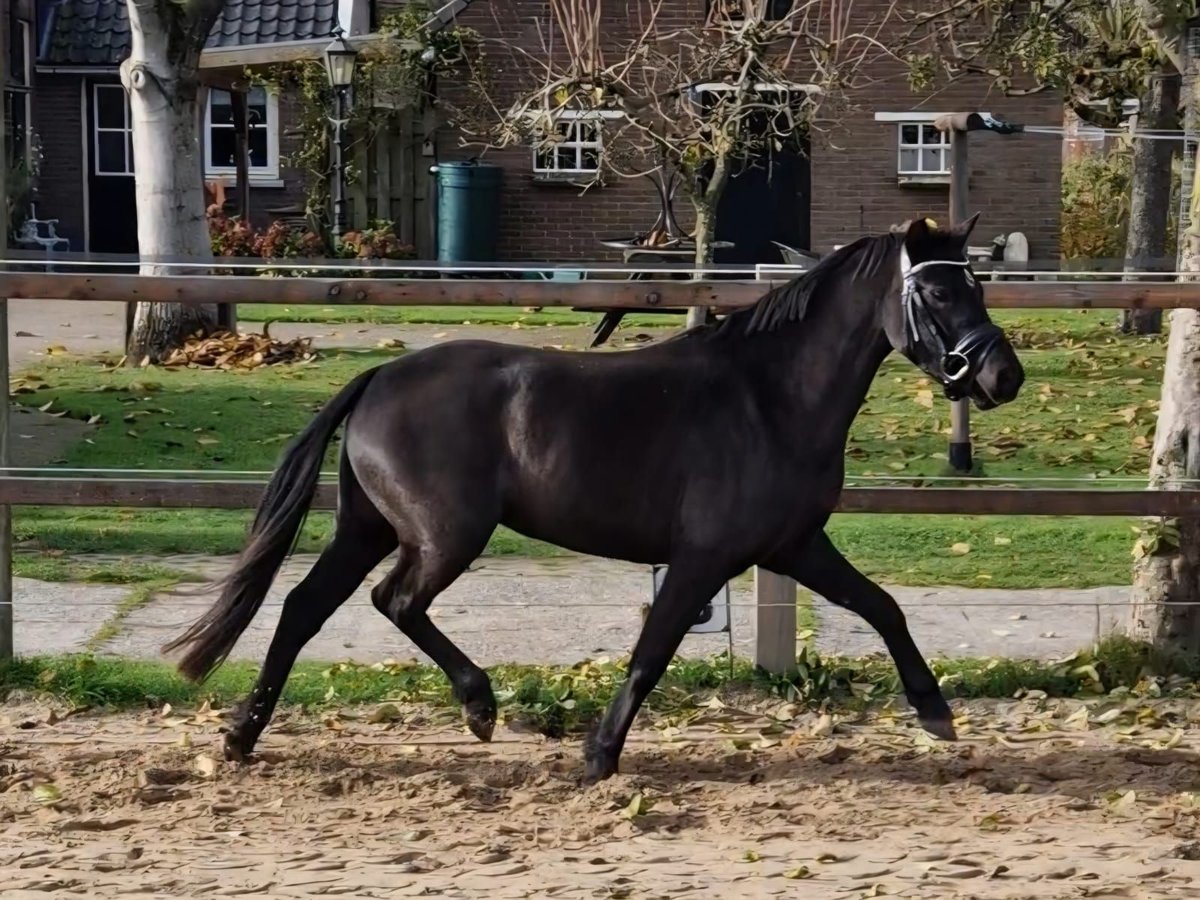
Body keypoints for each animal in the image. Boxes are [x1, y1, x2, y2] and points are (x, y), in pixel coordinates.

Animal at [164, 214, 1025, 783]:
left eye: (977, 284)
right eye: (936, 293)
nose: (1002, 376)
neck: (770, 396)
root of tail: (378, 377)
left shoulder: (795, 546)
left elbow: (884, 607)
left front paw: (936, 713)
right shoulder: (704, 557)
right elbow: (651, 653)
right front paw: (599, 754)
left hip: (367, 528)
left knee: (305, 607)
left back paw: (242, 737)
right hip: (445, 535)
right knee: (395, 601)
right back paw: (479, 706)